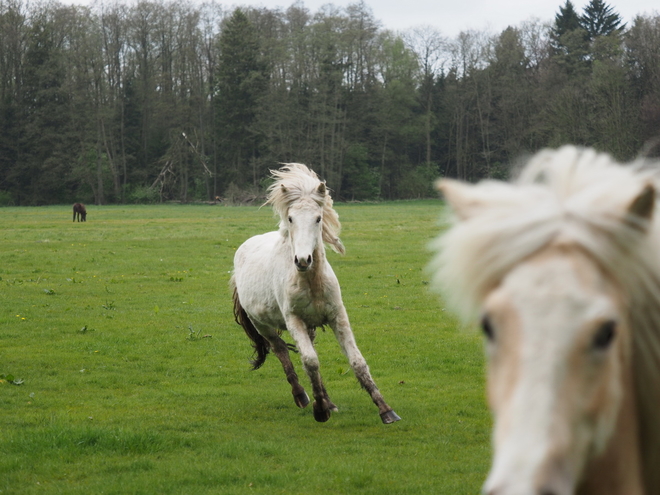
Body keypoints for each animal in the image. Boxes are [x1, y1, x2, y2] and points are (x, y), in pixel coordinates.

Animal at [229, 164, 400, 426]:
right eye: (290, 218)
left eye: (318, 218)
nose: (302, 260)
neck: (311, 282)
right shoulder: (294, 320)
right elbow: (310, 361)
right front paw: (320, 411)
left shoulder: (337, 316)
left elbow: (357, 361)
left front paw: (385, 409)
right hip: (262, 325)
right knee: (281, 350)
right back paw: (302, 396)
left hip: (308, 326)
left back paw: (328, 401)